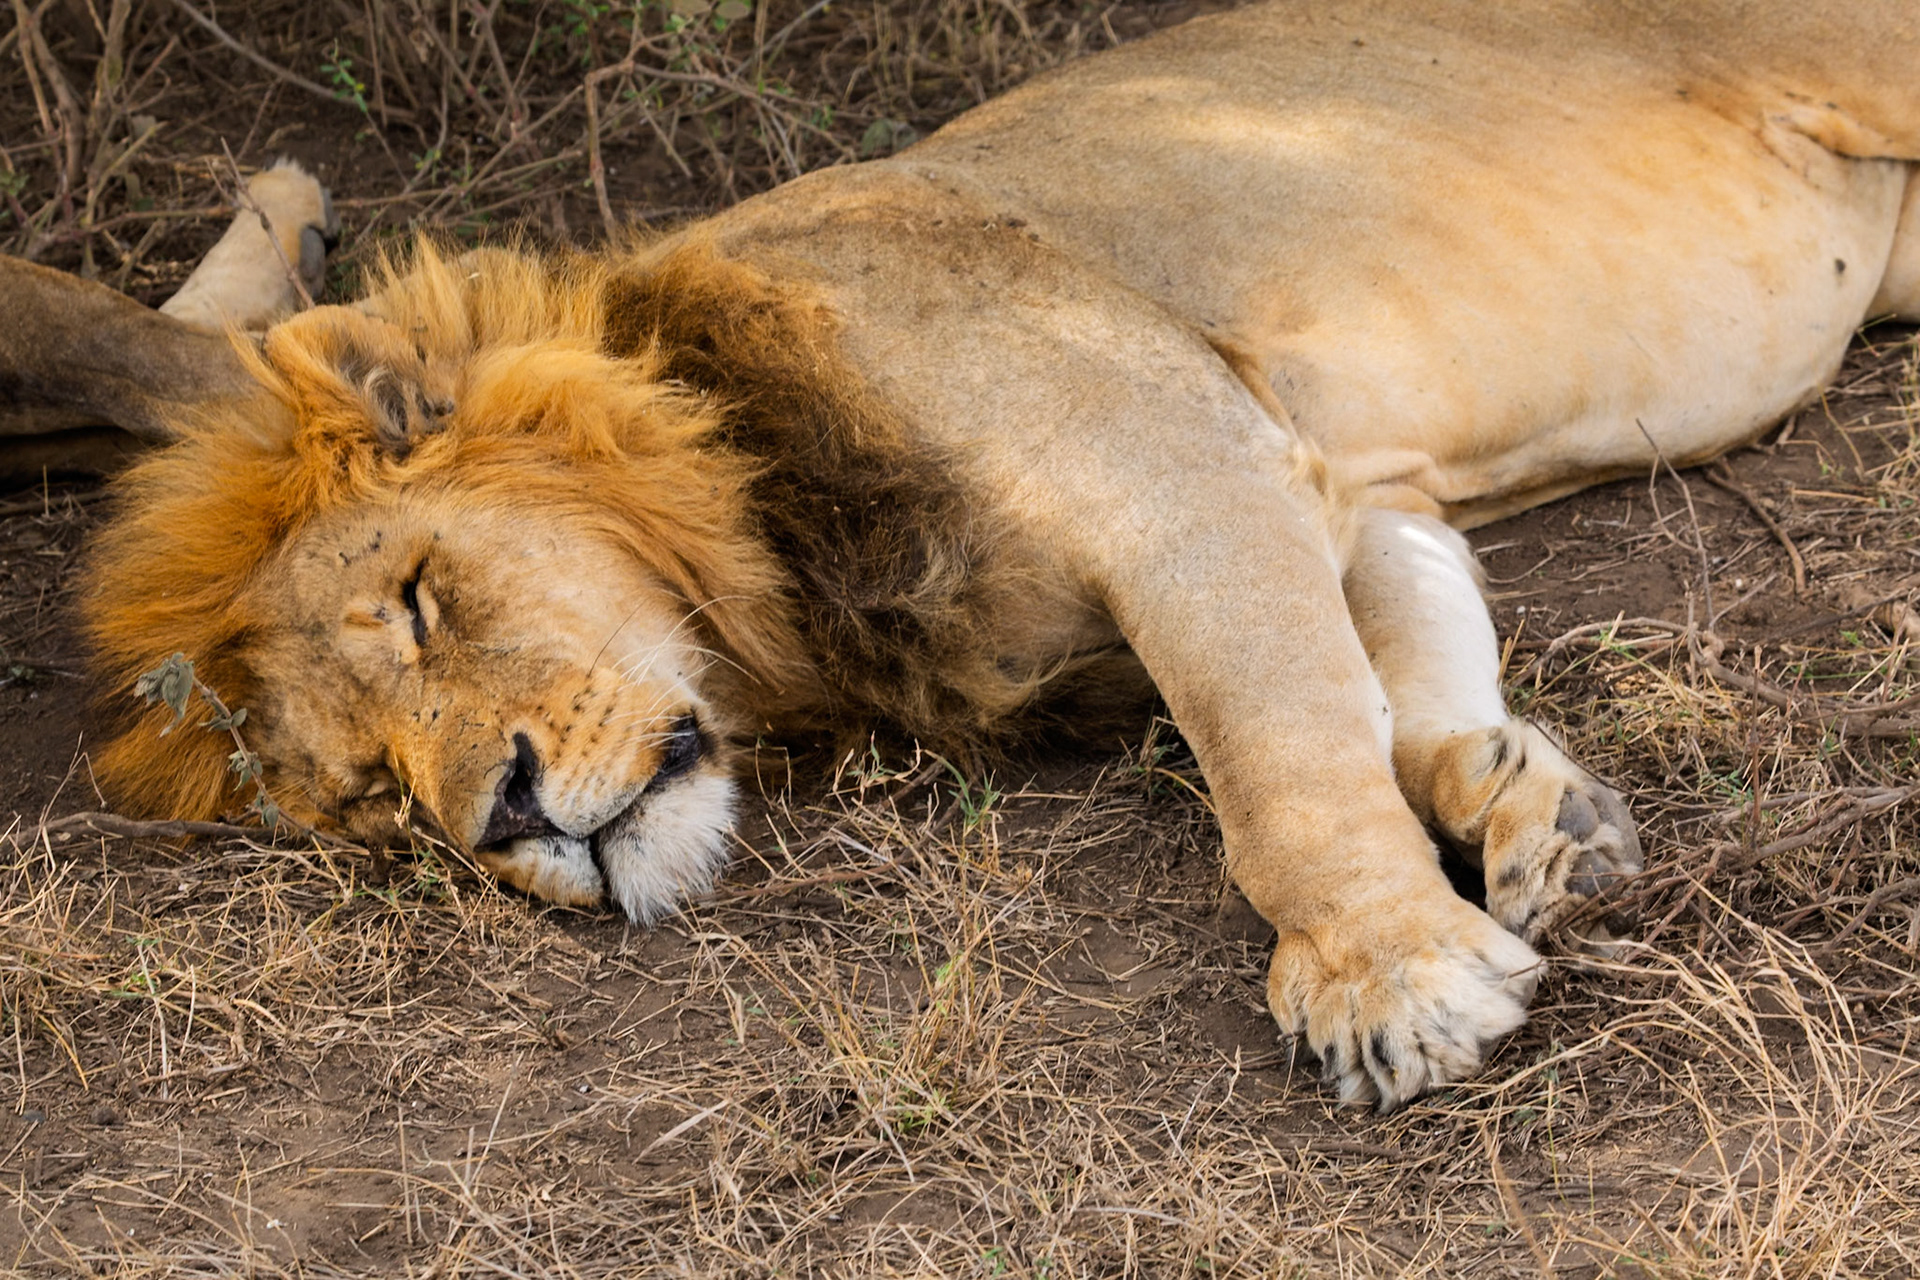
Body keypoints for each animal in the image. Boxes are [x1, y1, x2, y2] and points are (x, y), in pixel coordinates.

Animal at [10, 0, 1918, 1110]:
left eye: (418, 601)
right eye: (368, 804)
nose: (513, 821)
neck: (771, 508)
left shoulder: (1182, 463)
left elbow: (1281, 763)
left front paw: (1390, 977)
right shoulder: (1328, 479)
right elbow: (1404, 688)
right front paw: (1535, 813)